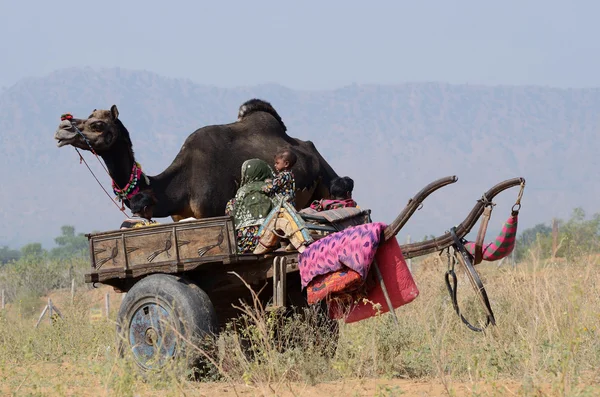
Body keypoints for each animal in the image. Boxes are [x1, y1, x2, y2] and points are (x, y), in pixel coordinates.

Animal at [54, 98, 340, 221]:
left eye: (98, 124)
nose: (62, 129)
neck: (179, 187)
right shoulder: (180, 218)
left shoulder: (211, 215)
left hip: (327, 179)